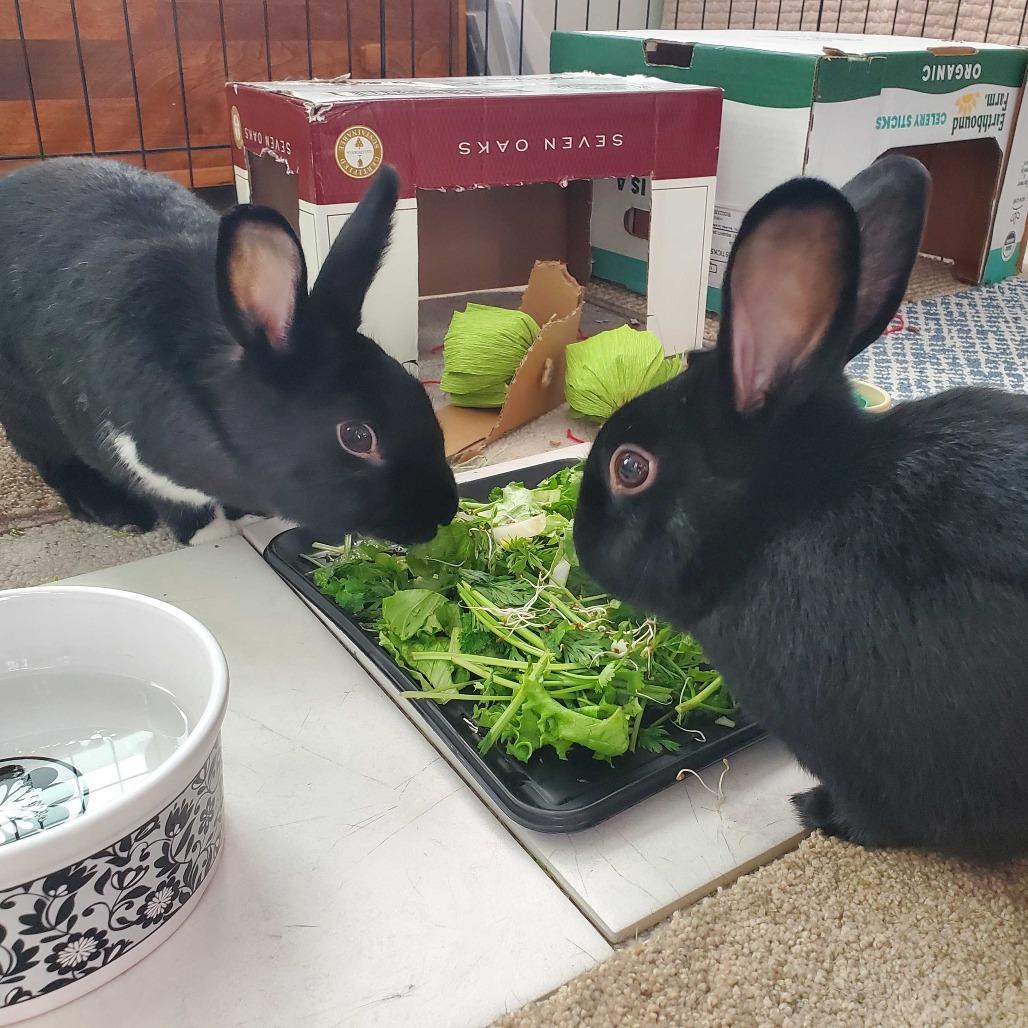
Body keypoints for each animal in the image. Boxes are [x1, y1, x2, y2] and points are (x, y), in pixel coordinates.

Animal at [0, 157, 457, 546]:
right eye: (357, 437)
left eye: (419, 392)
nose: (442, 515)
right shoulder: (136, 459)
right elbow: (182, 507)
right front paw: (212, 536)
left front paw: (249, 518)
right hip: (27, 411)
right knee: (53, 460)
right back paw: (113, 511)